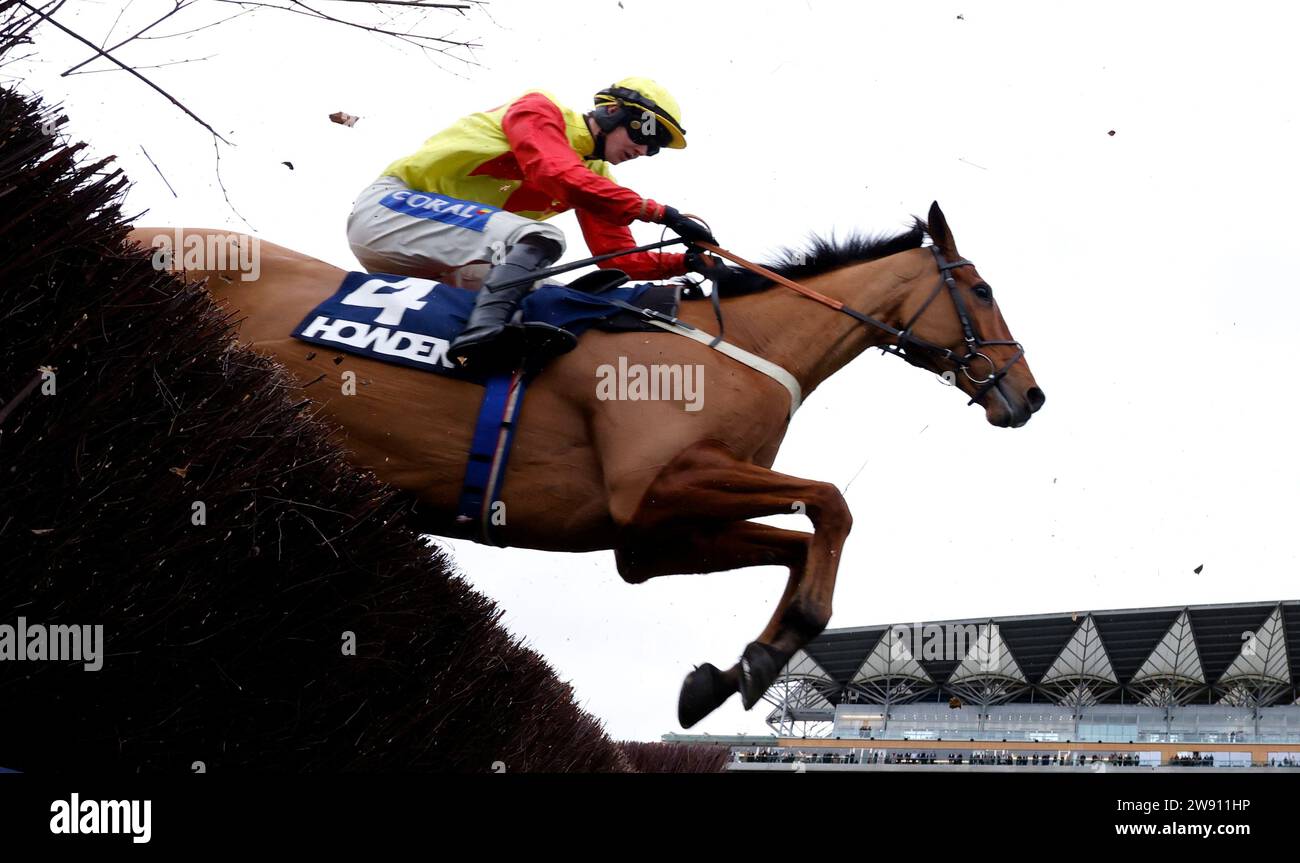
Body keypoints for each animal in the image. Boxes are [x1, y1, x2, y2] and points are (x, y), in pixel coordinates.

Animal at [129, 204, 1045, 727]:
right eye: (984, 289)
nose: (1029, 396)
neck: (739, 346)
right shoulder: (655, 487)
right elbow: (831, 504)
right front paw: (766, 653)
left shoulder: (649, 539)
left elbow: (797, 542)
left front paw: (732, 670)